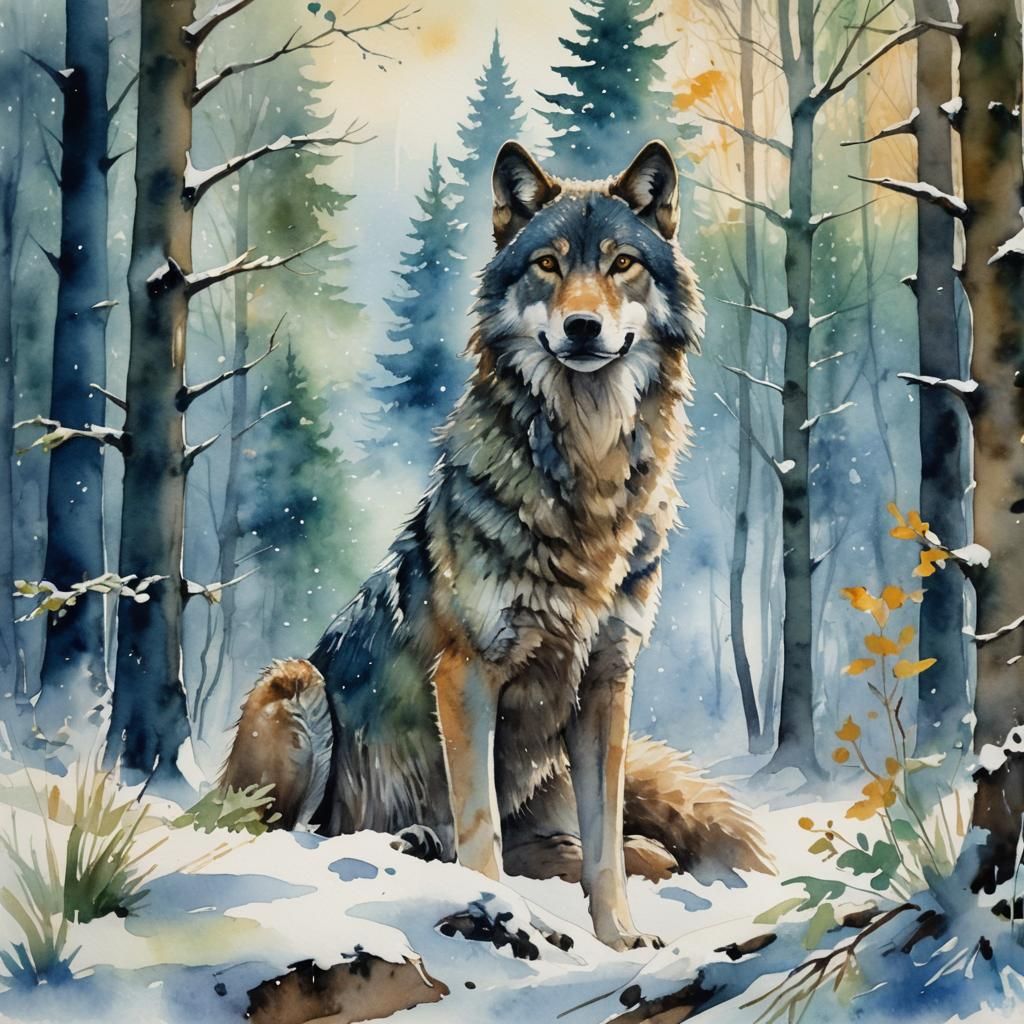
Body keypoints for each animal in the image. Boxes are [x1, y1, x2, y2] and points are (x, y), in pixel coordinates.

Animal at [222, 140, 771, 951]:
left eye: (621, 265)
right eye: (546, 264)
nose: (582, 327)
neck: (587, 478)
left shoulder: (608, 683)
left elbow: (605, 845)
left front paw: (620, 938)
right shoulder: (466, 675)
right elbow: (479, 826)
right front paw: (500, 911)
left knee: (629, 849)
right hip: (296, 685)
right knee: (296, 835)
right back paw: (410, 843)